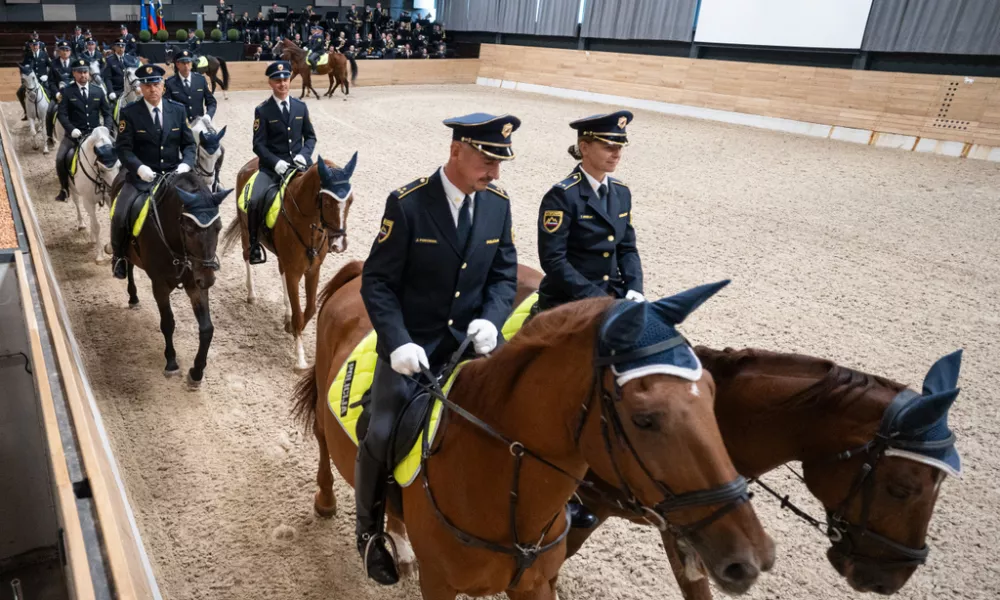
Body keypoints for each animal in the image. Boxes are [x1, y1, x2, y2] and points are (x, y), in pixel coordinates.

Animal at [69, 126, 121, 262]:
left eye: (119, 166)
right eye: (102, 170)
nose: (115, 189)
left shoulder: (108, 199)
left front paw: (109, 248)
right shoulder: (87, 200)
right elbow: (97, 226)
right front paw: (100, 255)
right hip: (74, 190)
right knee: (77, 204)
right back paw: (81, 224)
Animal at [109, 173, 232, 390]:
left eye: (219, 228)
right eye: (189, 229)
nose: (208, 279)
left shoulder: (195, 284)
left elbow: (207, 328)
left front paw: (197, 372)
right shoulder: (160, 285)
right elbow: (167, 322)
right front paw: (172, 363)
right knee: (129, 266)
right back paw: (132, 296)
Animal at [223, 155, 360, 370]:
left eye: (350, 201)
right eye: (328, 202)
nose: (339, 244)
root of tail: (252, 162)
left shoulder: (312, 270)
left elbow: (309, 309)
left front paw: (290, 327)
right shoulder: (295, 271)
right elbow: (299, 315)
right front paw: (300, 359)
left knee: (281, 272)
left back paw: (285, 312)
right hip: (246, 231)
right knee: (246, 257)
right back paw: (252, 294)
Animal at [292, 262, 776, 600]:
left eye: (712, 394)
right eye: (644, 418)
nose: (753, 558)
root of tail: (357, 274)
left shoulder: (536, 585)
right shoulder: (441, 585)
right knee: (326, 444)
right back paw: (328, 504)